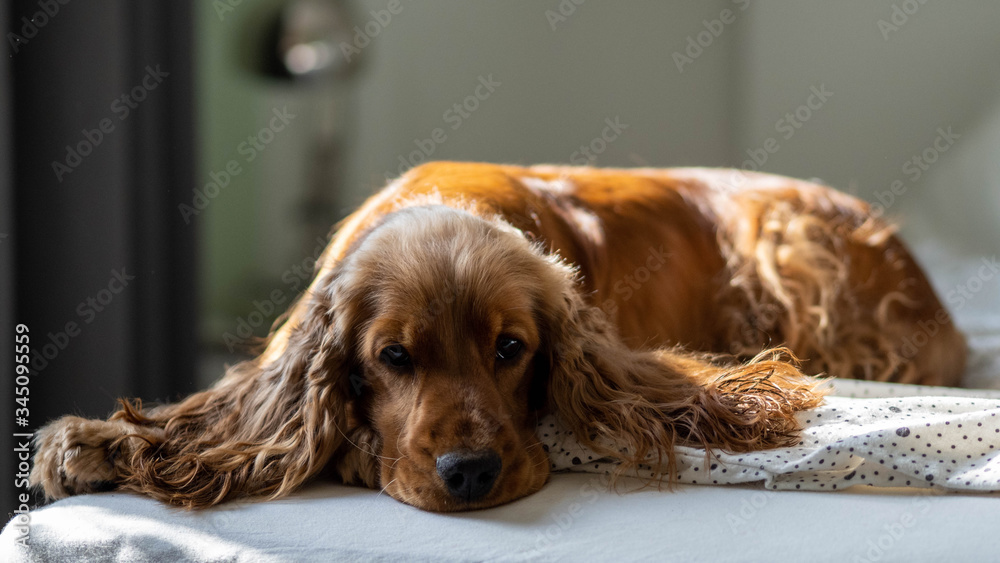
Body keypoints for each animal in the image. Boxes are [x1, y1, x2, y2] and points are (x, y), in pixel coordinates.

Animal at [35, 162, 964, 512]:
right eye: (393, 356)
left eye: (511, 348)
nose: (470, 474)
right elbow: (223, 409)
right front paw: (94, 439)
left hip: (787, 246)